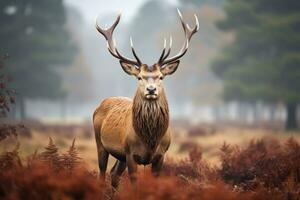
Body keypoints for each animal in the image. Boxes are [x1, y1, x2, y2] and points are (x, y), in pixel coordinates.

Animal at [92, 8, 198, 188]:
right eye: (139, 77)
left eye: (161, 77)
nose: (151, 89)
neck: (150, 140)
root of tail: (100, 104)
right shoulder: (130, 153)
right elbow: (134, 184)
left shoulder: (161, 155)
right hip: (100, 143)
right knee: (102, 173)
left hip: (120, 155)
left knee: (114, 174)